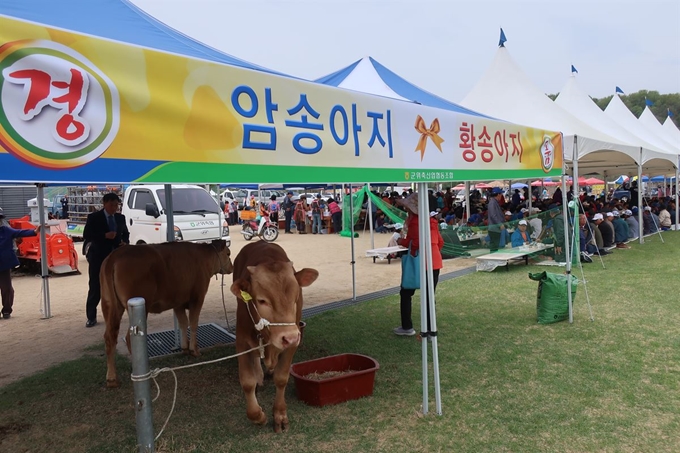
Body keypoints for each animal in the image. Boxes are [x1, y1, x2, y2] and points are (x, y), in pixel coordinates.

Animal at [101, 238, 232, 386]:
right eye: (228, 253)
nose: (232, 267)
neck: (205, 257)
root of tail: (115, 255)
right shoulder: (197, 298)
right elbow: (193, 323)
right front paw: (194, 350)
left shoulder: (178, 302)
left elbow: (183, 322)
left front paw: (185, 348)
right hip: (139, 306)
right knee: (129, 337)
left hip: (109, 305)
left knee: (110, 337)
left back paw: (112, 378)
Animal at [231, 242, 318, 432]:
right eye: (262, 301)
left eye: (296, 296)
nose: (289, 337)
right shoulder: (241, 342)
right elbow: (247, 382)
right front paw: (258, 416)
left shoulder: (293, 341)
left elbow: (281, 377)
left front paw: (280, 415)